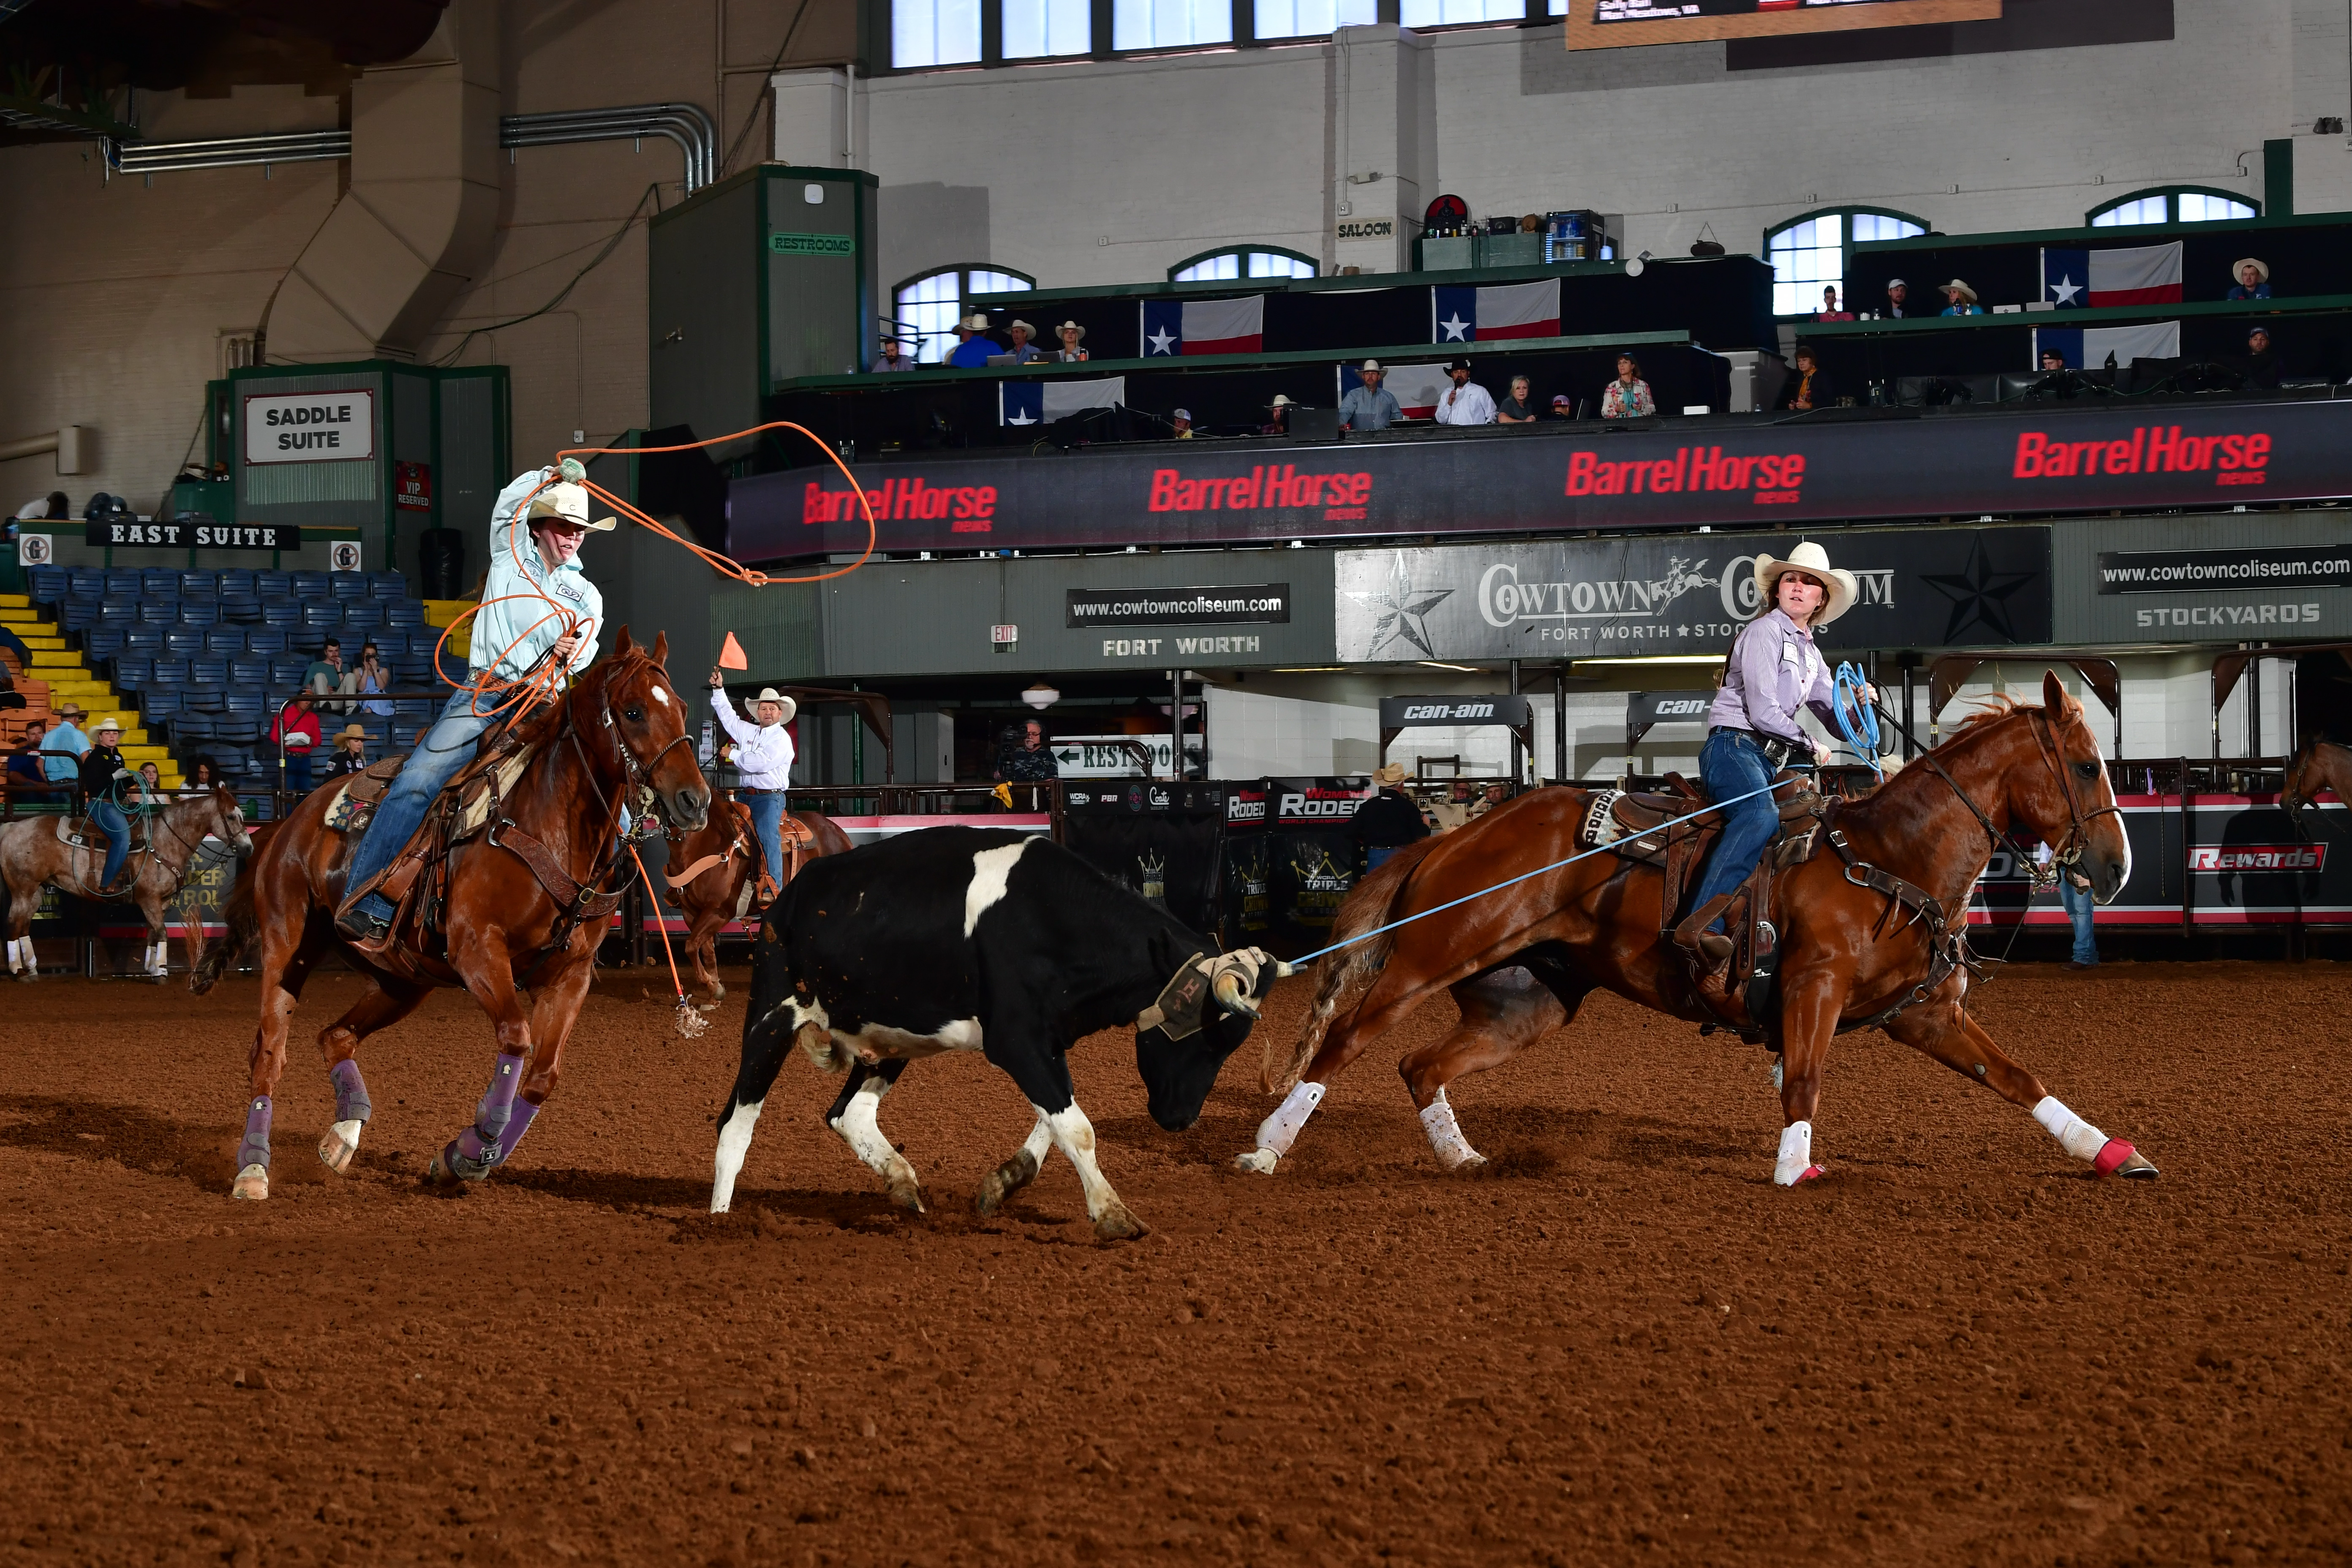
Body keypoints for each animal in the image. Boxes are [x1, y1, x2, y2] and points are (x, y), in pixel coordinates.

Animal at [189, 625, 705, 1203]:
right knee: (269, 1054)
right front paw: (472, 1147)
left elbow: (542, 1075)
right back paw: (253, 1169)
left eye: (682, 708)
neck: (548, 825)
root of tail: (287, 821)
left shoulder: (570, 977)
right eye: (634, 711)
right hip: (288, 948)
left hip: (402, 979)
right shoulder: (477, 949)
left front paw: (463, 1158)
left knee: (335, 1037)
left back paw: (343, 1136)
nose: (695, 800)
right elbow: (516, 1037)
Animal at [659, 799, 851, 1006]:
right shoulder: (691, 912)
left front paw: (713, 986)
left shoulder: (719, 911)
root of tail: (841, 835)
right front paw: (715, 991)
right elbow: (703, 948)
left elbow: (692, 945)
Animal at [1251, 677, 2164, 1190]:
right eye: (2086, 765)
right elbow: (1804, 1081)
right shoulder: (1812, 988)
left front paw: (2110, 1151)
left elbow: (2016, 1077)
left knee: (1420, 1064)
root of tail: (1456, 832)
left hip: (1522, 1000)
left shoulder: (1925, 1013)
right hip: (1427, 956)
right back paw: (1266, 1148)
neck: (1887, 857)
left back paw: (1462, 1159)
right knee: (1345, 1040)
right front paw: (1795, 1165)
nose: (2117, 868)